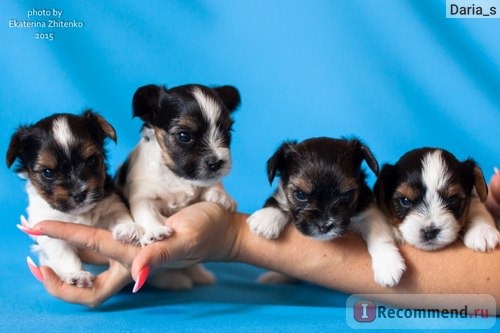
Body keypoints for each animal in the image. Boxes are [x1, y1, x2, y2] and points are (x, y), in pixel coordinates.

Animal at [6, 110, 141, 286]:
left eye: (91, 160)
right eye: (48, 172)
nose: (79, 193)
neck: (80, 213)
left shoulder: (111, 202)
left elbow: (119, 214)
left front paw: (128, 228)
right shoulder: (46, 228)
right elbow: (63, 253)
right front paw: (77, 274)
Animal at [118, 83, 241, 288]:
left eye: (227, 132)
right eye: (184, 136)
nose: (217, 162)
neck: (175, 176)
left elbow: (211, 182)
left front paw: (221, 195)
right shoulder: (143, 196)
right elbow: (146, 213)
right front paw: (155, 231)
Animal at [246, 136, 406, 286]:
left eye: (346, 195)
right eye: (300, 194)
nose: (324, 226)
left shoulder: (368, 207)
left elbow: (378, 233)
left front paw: (388, 265)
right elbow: (279, 199)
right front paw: (266, 218)